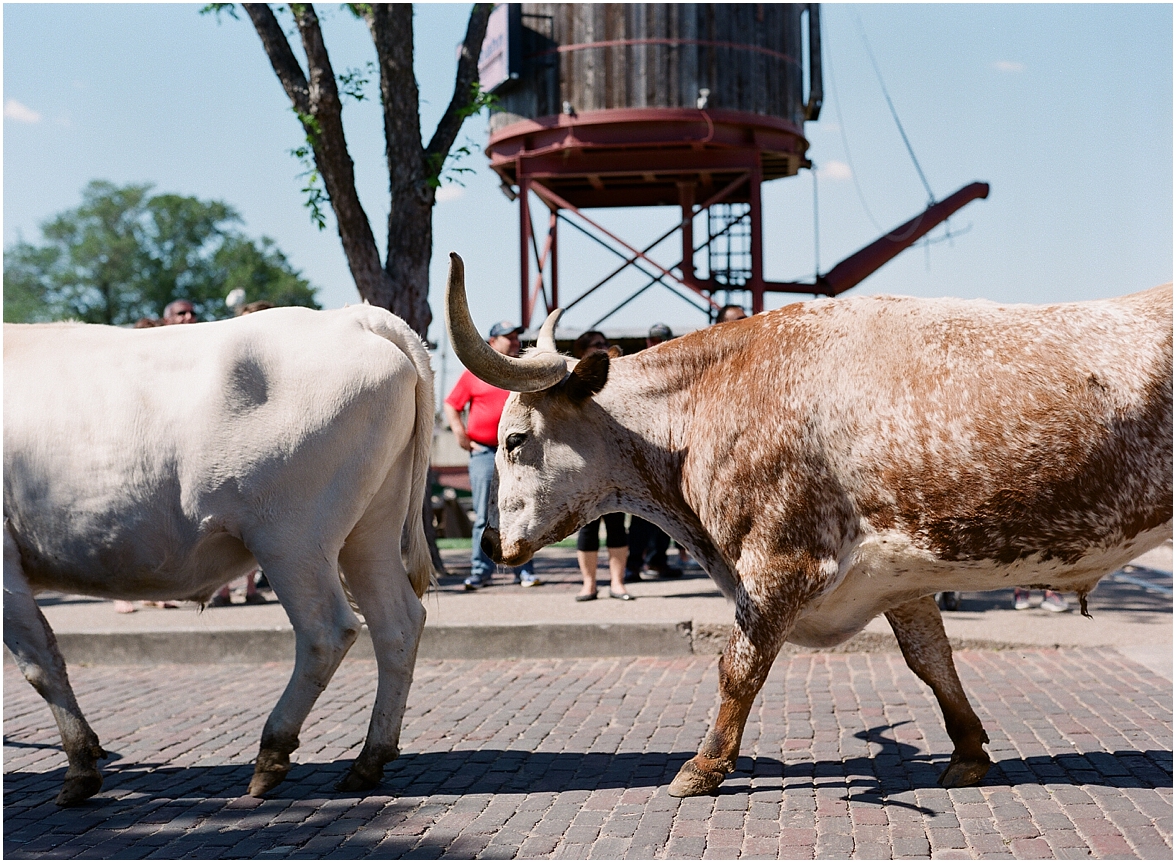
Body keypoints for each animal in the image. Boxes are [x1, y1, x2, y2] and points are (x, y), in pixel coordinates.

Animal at [4, 308, 437, 808]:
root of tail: (354, 316)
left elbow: (41, 663)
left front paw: (79, 767)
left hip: (291, 536)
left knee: (327, 631)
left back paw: (272, 755)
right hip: (370, 530)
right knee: (397, 625)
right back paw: (368, 761)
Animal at [444, 253, 1171, 799]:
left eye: (513, 439)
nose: (490, 542)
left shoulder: (779, 562)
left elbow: (738, 666)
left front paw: (703, 766)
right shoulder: (899, 575)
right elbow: (931, 660)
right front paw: (968, 751)